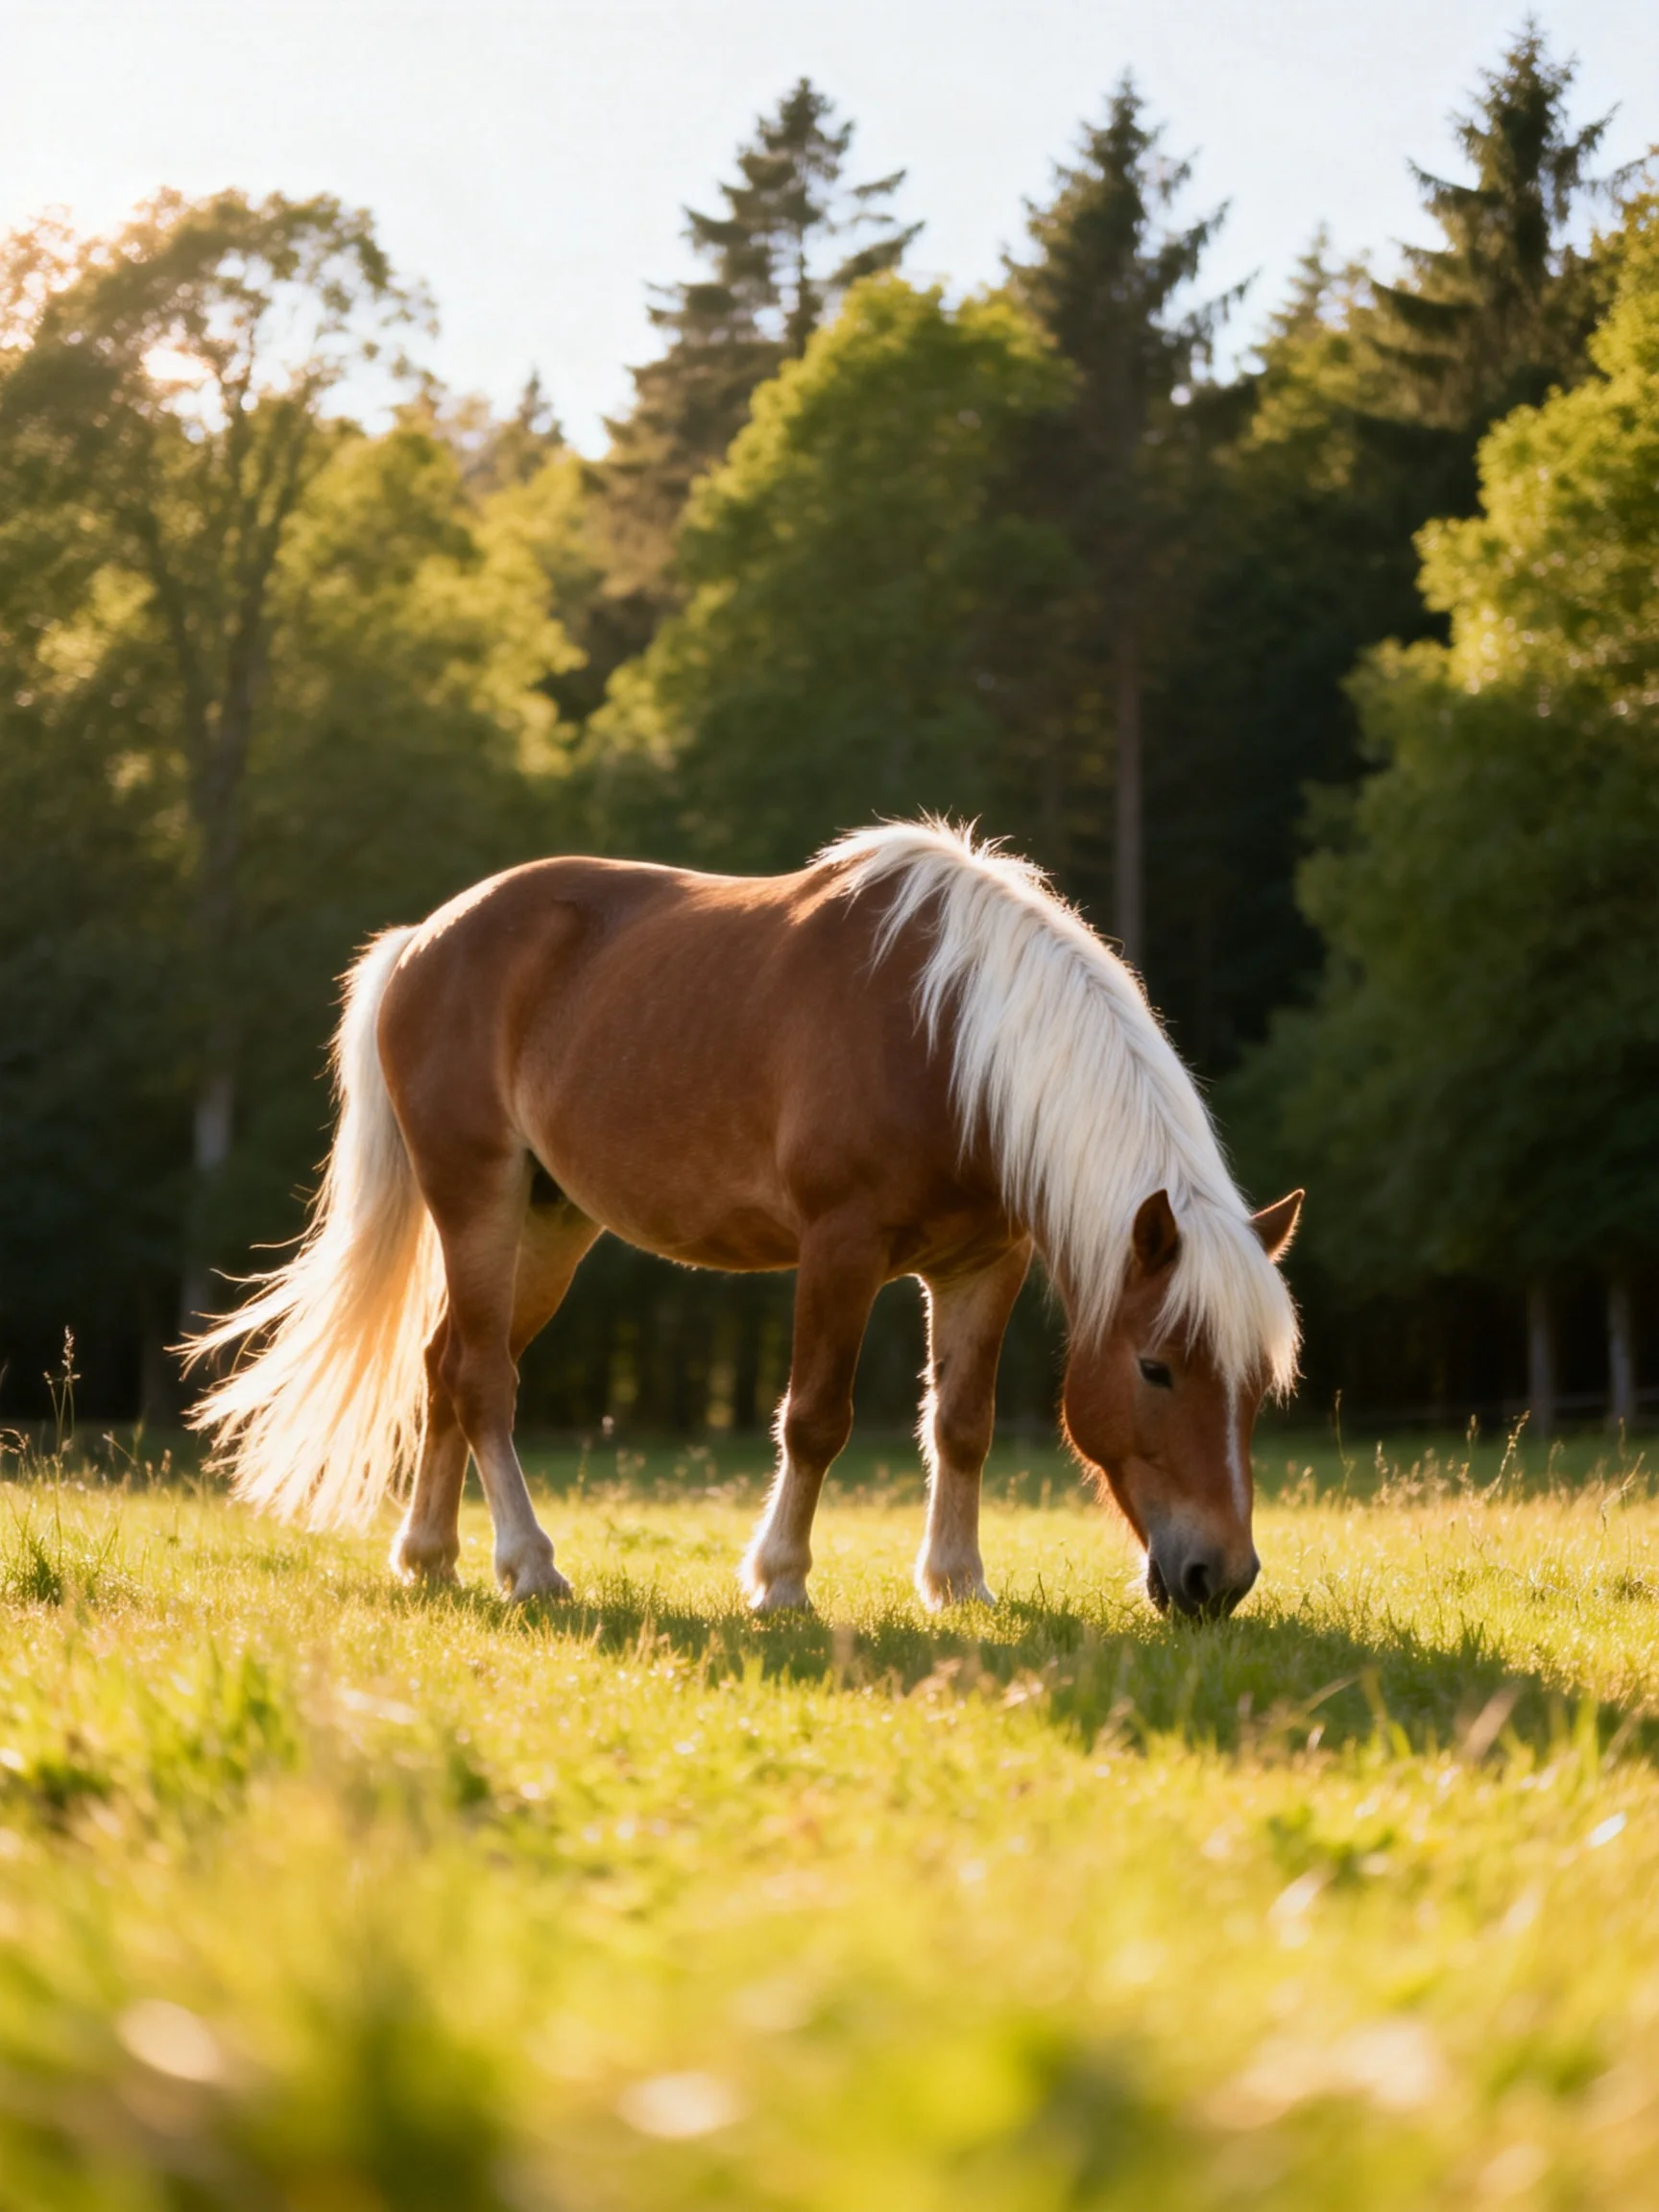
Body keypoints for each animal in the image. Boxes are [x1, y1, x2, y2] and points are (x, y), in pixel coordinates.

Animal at [189, 822, 1302, 1619]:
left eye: (1257, 1387)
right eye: (1156, 1368)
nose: (1220, 1579)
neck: (950, 1037)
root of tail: (419, 941)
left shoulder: (985, 1265)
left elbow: (963, 1425)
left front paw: (957, 1584)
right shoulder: (840, 1248)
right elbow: (815, 1419)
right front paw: (781, 1579)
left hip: (550, 1224)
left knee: (444, 1365)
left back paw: (431, 1558)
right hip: (477, 1199)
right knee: (479, 1379)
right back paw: (530, 1565)